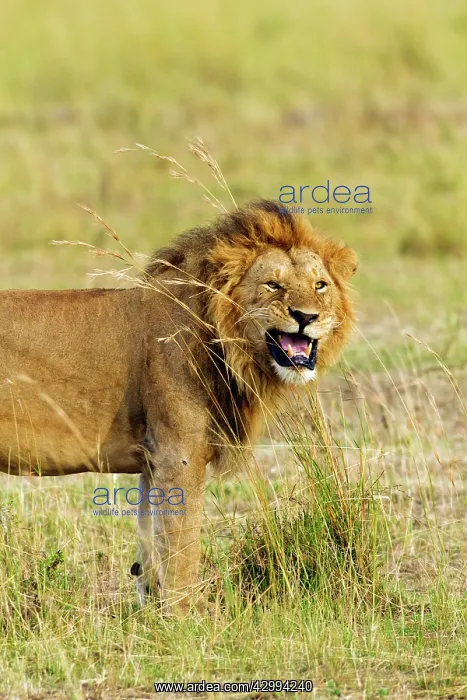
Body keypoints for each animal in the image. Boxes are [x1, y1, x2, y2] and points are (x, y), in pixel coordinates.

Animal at [0, 199, 357, 614]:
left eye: (320, 285)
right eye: (273, 284)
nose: (306, 317)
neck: (224, 342)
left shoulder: (152, 460)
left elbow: (150, 546)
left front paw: (154, 614)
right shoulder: (179, 453)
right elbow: (183, 550)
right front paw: (187, 618)